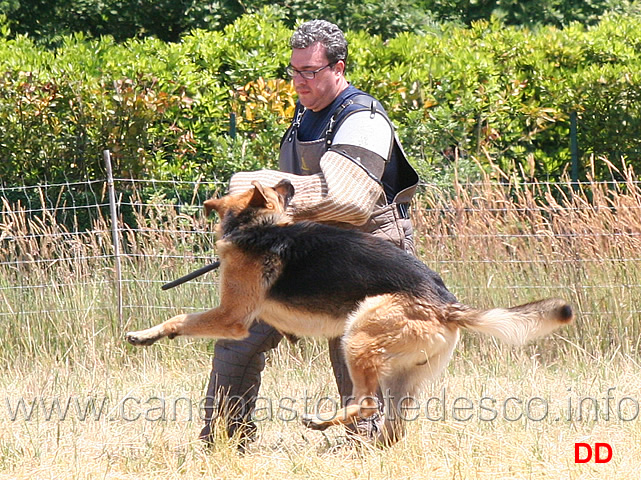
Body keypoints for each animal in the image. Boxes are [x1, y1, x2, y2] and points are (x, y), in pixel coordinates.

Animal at [126, 180, 576, 446]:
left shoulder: (231, 317)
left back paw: (322, 421)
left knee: (368, 405)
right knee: (391, 424)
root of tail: (446, 304)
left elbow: (181, 320)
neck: (261, 225)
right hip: (403, 377)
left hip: (357, 335)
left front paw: (147, 334)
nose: (290, 180)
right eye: (280, 189)